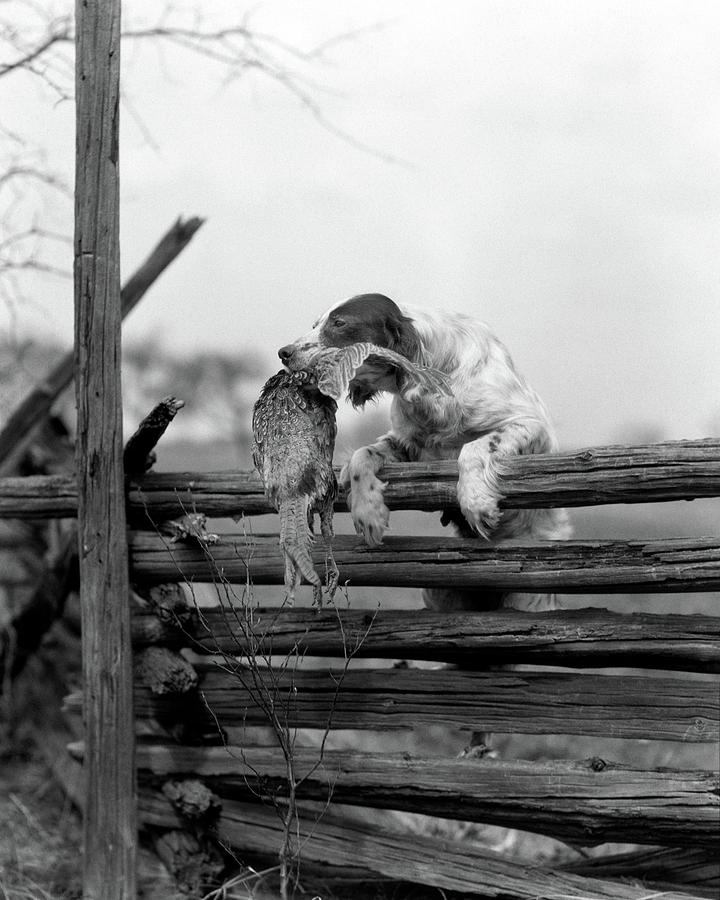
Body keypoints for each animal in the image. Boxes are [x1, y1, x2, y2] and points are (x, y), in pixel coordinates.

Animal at [278, 292, 572, 616]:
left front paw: (476, 503)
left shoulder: (532, 426)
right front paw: (368, 514)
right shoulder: (409, 445)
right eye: (315, 324)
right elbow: (361, 457)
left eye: (340, 323)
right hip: (438, 592)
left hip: (529, 597)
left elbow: (473, 448)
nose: (284, 352)